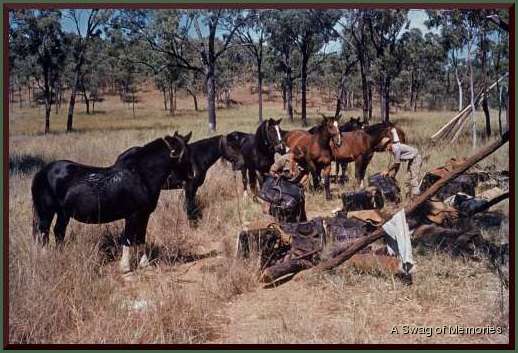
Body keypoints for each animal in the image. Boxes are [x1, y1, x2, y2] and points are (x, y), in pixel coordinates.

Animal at [31, 132, 193, 272]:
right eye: (182, 155)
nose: (192, 176)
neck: (140, 176)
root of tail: (42, 172)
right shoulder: (132, 215)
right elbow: (128, 239)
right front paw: (125, 267)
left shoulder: (144, 215)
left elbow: (141, 238)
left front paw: (145, 264)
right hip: (46, 212)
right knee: (44, 233)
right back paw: (46, 258)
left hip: (63, 213)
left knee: (58, 232)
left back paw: (61, 255)